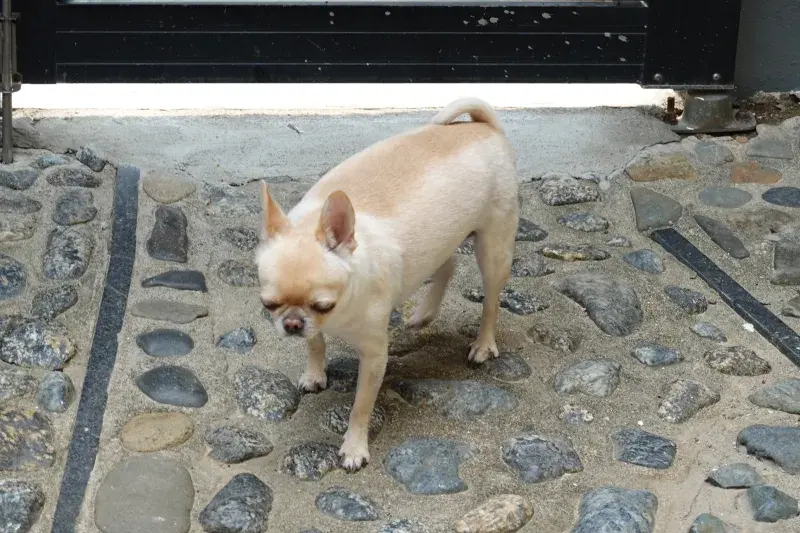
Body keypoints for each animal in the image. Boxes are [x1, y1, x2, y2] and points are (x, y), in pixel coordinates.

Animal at [255, 97, 519, 471]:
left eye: (324, 304)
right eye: (269, 305)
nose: (291, 324)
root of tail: (485, 126)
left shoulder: (374, 356)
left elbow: (361, 407)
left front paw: (354, 447)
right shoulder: (313, 327)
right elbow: (315, 343)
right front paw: (315, 374)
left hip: (493, 248)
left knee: (492, 300)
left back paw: (483, 345)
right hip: (438, 241)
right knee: (448, 265)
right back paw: (424, 313)